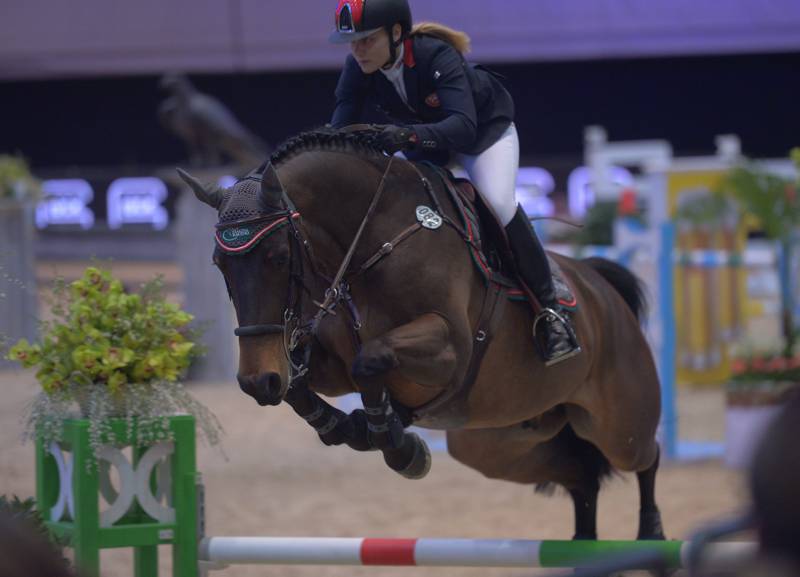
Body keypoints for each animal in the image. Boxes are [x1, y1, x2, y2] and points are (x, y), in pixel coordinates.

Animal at [178, 127, 664, 540]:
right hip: (503, 443)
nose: (257, 381)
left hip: (618, 423)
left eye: (279, 257)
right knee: (580, 475)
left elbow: (371, 359)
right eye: (220, 265)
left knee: (645, 454)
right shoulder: (326, 365)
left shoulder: (450, 349)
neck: (372, 243)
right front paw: (352, 428)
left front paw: (395, 443)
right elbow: (302, 385)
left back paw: (652, 534)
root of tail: (601, 286)